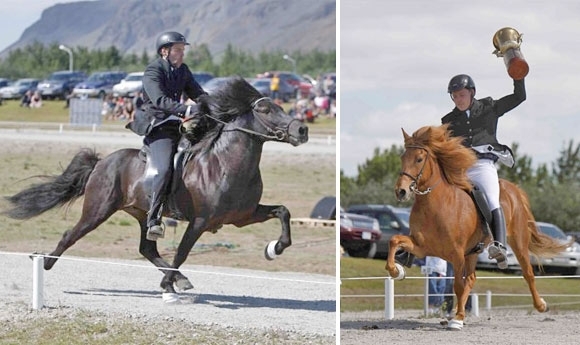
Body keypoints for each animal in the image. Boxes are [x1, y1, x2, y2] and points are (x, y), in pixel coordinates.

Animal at [3, 76, 308, 296]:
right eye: (266, 109)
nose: (302, 130)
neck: (225, 164)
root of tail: (102, 162)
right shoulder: (200, 221)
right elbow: (183, 251)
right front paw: (168, 285)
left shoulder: (242, 216)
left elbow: (283, 211)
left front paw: (275, 248)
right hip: (98, 210)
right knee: (71, 234)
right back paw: (45, 263)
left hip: (142, 214)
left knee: (147, 249)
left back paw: (179, 279)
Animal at [388, 125, 568, 330]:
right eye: (402, 157)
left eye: (419, 159)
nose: (401, 191)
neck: (435, 205)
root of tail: (513, 188)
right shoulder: (421, 247)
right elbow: (394, 240)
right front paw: (396, 270)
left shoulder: (457, 254)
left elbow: (458, 285)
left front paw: (457, 321)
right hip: (473, 253)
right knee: (472, 279)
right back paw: (457, 313)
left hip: (518, 243)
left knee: (528, 273)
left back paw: (541, 306)